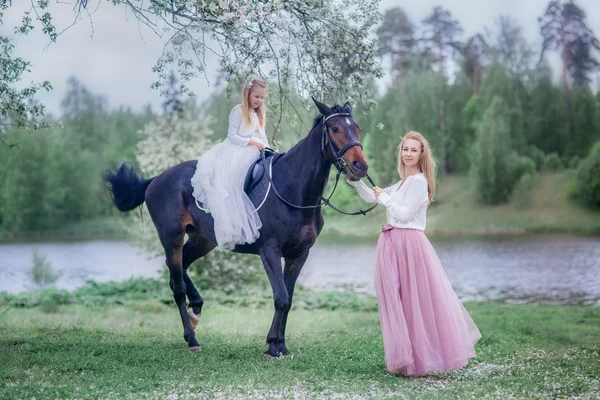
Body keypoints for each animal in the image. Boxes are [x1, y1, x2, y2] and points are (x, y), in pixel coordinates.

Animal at [103, 99, 368, 356]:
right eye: (334, 128)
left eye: (357, 128)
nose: (360, 166)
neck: (294, 191)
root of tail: (157, 179)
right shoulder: (269, 250)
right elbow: (281, 298)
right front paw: (272, 346)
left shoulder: (299, 255)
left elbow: (289, 298)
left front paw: (280, 344)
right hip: (171, 238)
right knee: (177, 285)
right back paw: (191, 338)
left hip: (202, 240)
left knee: (181, 270)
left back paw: (196, 309)